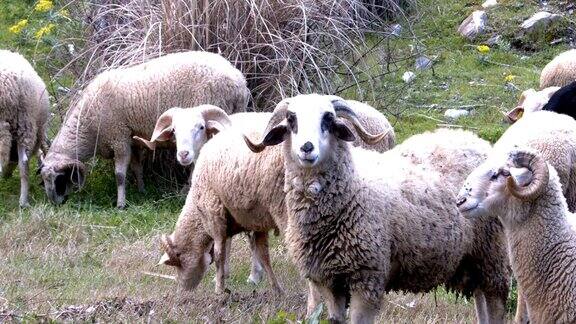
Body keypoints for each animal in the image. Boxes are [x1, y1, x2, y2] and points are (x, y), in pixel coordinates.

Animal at [39, 50, 248, 208]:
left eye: (59, 179)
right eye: (44, 180)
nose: (55, 203)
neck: (87, 126)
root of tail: (239, 82)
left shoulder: (119, 137)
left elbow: (120, 175)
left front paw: (121, 203)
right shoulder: (133, 139)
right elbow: (137, 167)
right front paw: (141, 190)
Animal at [243, 94, 508, 324]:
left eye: (328, 118)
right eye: (291, 119)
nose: (307, 148)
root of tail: (470, 137)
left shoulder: (367, 279)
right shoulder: (329, 282)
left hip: (493, 251)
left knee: (496, 303)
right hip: (474, 257)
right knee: (481, 300)